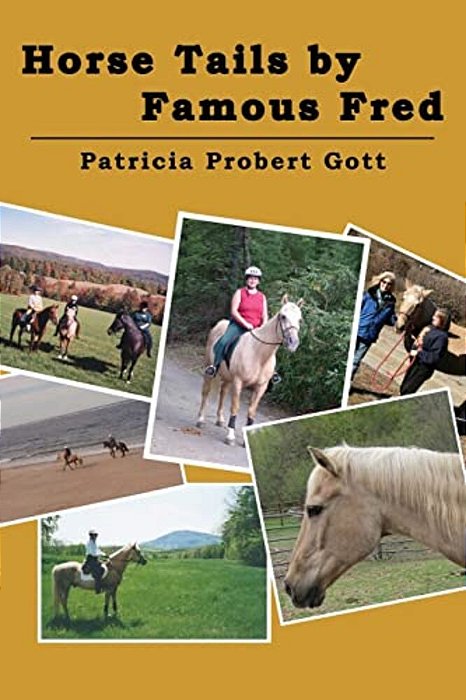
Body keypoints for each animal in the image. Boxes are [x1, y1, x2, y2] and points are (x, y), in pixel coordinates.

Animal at [196, 295, 303, 445]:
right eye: (283, 316)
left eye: (300, 319)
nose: (293, 342)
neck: (259, 353)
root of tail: (220, 323)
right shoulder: (238, 382)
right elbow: (235, 407)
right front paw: (230, 436)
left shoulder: (260, 387)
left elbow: (251, 411)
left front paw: (244, 440)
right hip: (210, 369)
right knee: (206, 392)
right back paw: (200, 420)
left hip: (228, 377)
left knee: (223, 393)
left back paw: (220, 420)